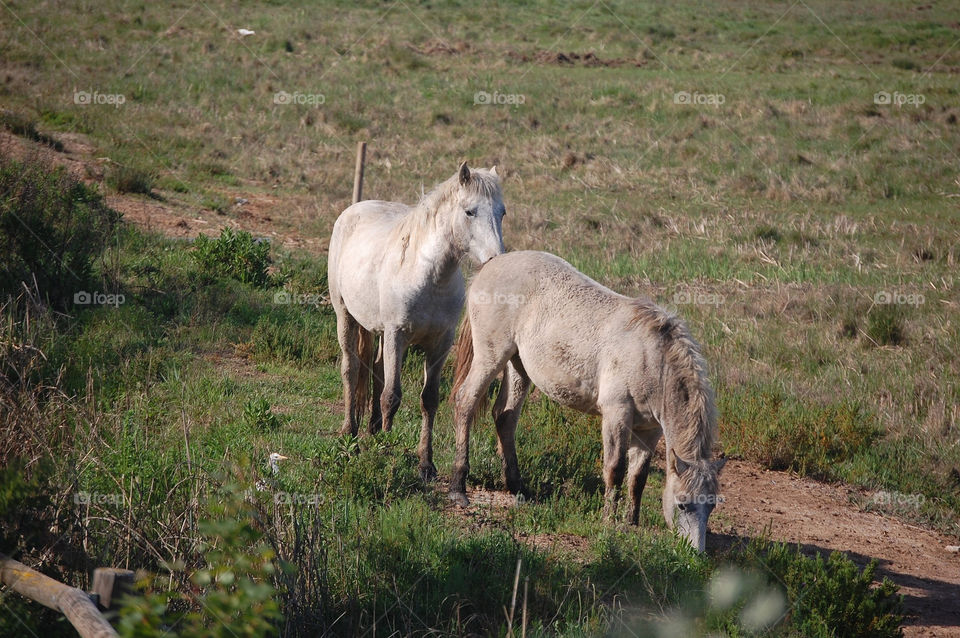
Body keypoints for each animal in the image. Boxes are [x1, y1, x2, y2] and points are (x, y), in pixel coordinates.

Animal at [328, 162, 506, 481]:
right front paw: (386, 452)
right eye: (469, 211)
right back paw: (350, 434)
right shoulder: (398, 336)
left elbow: (429, 399)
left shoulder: (440, 345)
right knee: (351, 369)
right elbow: (392, 397)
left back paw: (374, 430)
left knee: (376, 371)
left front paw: (426, 463)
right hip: (346, 317)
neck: (429, 277)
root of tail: (353, 210)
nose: (495, 260)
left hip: (381, 333)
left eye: (502, 212)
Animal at [449, 251, 725, 551]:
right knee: (465, 402)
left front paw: (632, 523)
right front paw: (608, 521)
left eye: (711, 506)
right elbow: (615, 469)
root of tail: (491, 264)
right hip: (491, 356)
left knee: (505, 417)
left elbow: (637, 478)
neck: (653, 360)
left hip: (518, 366)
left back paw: (517, 488)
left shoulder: (649, 431)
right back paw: (458, 487)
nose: (696, 552)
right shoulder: (616, 415)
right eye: (682, 504)